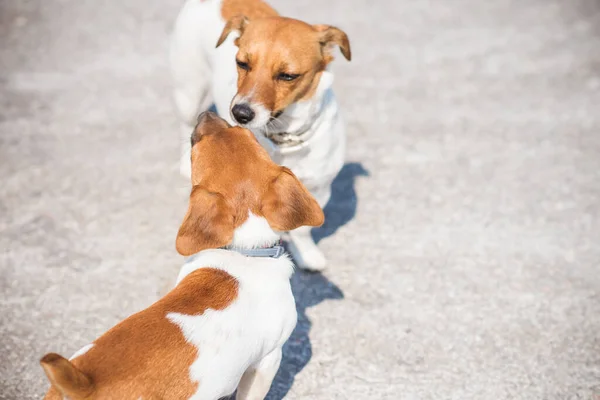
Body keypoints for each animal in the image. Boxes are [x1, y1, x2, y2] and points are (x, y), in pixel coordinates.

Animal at [38, 112, 324, 400]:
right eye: (195, 149)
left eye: (244, 134)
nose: (207, 114)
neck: (245, 252)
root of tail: (84, 383)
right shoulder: (267, 361)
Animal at [170, 0, 352, 272]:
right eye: (242, 63)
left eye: (288, 75)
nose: (240, 113)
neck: (283, 137)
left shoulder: (320, 188)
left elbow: (302, 230)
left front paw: (306, 253)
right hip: (189, 93)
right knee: (186, 123)